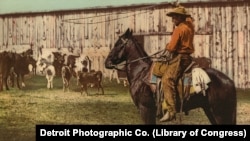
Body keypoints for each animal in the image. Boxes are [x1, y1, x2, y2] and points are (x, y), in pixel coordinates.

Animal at [105, 27, 236, 124]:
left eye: (118, 44)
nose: (107, 62)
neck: (141, 73)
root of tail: (229, 81)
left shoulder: (146, 110)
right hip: (210, 111)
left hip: (220, 114)